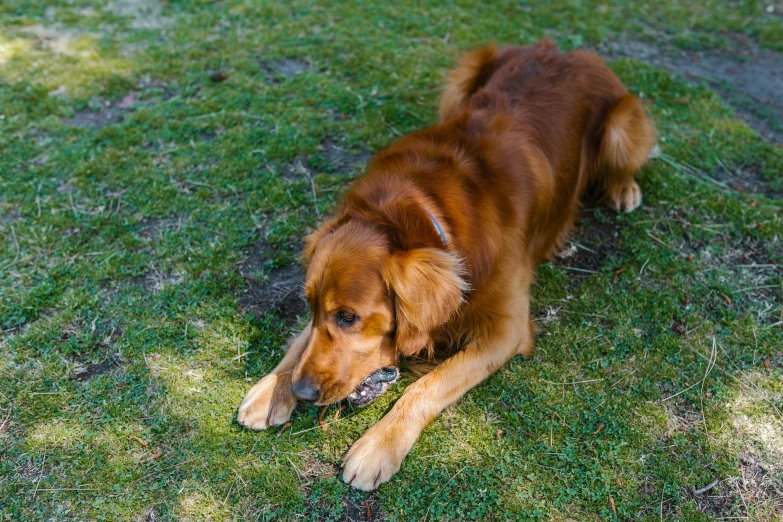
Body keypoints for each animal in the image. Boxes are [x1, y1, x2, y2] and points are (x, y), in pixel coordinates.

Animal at [237, 40, 656, 488]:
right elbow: (302, 341)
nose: (302, 393)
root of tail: (564, 49)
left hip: (622, 125)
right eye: (310, 306)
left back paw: (624, 190)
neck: (424, 211)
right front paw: (272, 387)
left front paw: (378, 444)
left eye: (348, 317)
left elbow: (427, 386)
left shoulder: (507, 330)